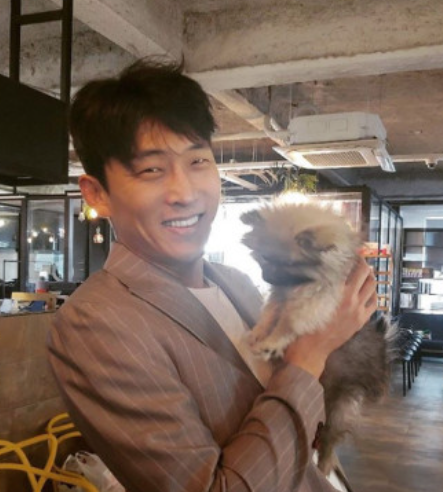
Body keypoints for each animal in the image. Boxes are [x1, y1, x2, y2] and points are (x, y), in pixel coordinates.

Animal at [241, 200, 397, 474]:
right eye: (263, 258)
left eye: (288, 264)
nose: (266, 277)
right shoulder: (281, 293)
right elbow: (271, 312)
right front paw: (259, 333)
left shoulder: (316, 298)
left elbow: (288, 321)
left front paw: (271, 342)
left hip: (341, 408)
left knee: (330, 438)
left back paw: (324, 464)